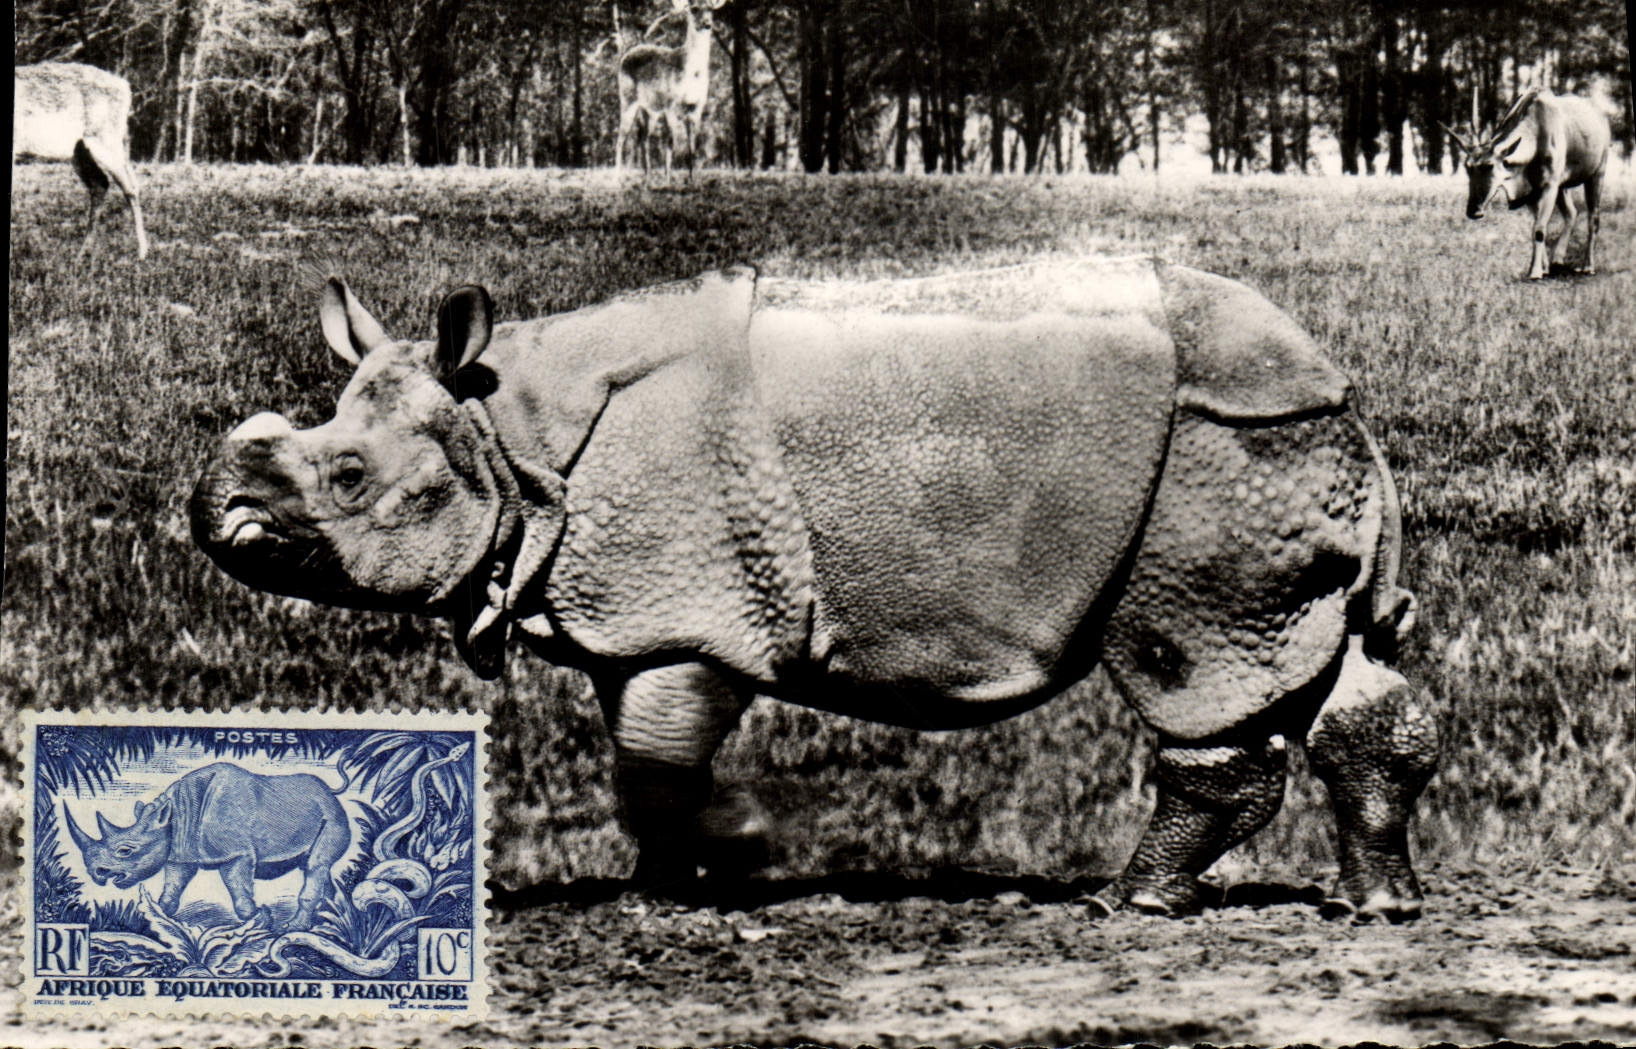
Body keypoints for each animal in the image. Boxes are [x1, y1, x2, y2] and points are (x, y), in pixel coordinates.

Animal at [64, 763, 351, 930]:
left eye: (125, 850)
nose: (96, 873)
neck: (175, 813)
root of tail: (331, 793)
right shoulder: (181, 851)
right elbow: (173, 886)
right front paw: (164, 919)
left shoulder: (236, 852)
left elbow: (237, 885)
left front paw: (259, 920)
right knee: (313, 866)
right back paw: (329, 916)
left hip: (332, 816)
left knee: (315, 864)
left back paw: (294, 928)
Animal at [191, 258, 1439, 922]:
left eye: (348, 477)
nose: (214, 511)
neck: (508, 432)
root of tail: (1339, 389)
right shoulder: (641, 613)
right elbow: (643, 758)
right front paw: (696, 871)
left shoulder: (689, 616)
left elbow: (651, 764)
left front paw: (674, 891)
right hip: (1270, 451)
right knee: (1333, 660)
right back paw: (1377, 906)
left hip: (1217, 453)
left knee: (1191, 656)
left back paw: (1122, 902)